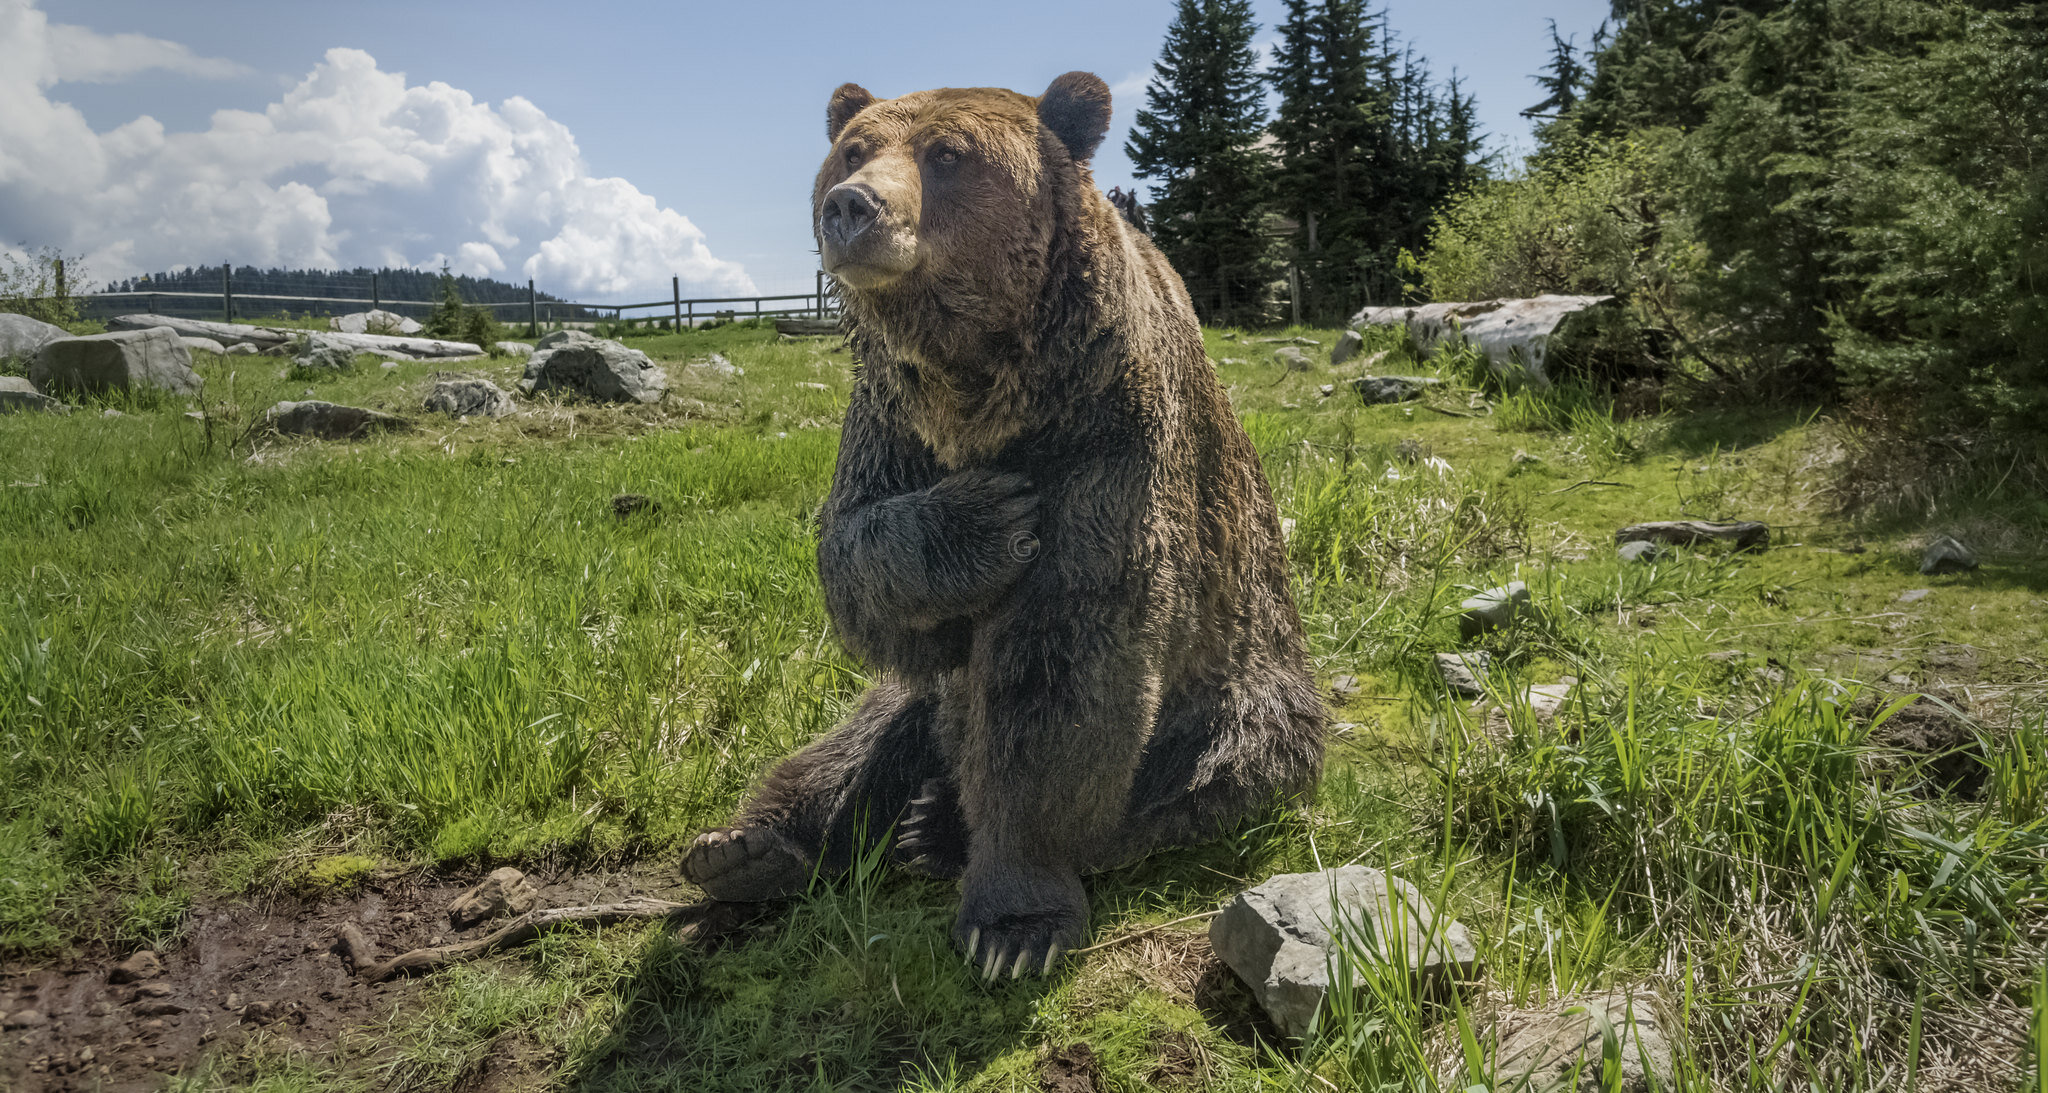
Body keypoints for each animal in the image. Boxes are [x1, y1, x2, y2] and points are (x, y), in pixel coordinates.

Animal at [684, 77, 1327, 986]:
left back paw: (939, 829)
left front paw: (1014, 923)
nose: (851, 207)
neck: (987, 389)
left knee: (1202, 769)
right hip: (919, 709)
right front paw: (985, 519)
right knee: (864, 736)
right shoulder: (890, 422)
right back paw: (747, 846)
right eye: (853, 149)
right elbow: (857, 557)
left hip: (1245, 697)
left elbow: (1062, 658)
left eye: (947, 154)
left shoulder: (1107, 436)